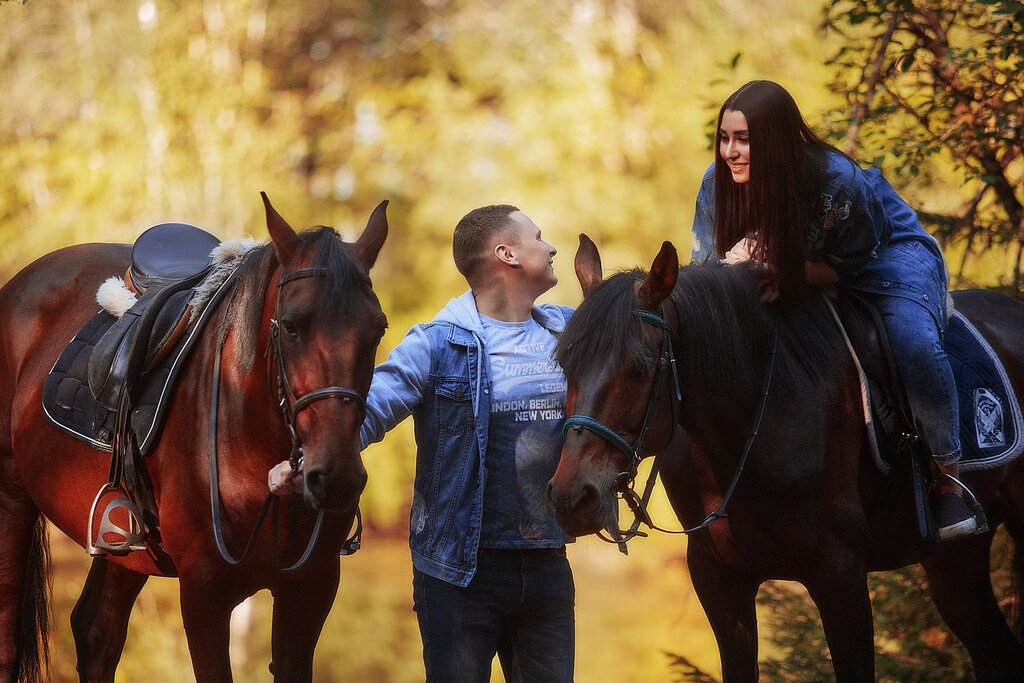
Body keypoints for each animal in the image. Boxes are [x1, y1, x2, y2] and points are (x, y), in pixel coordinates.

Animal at [0, 194, 387, 679]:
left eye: (378, 329)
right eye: (292, 325)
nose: (335, 476)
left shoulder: (310, 589)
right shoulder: (204, 592)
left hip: (126, 541)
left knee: (96, 633)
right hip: (12, 500)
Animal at [548, 236, 1024, 683]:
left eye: (640, 368)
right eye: (565, 363)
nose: (572, 497)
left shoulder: (841, 577)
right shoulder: (719, 582)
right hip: (953, 559)